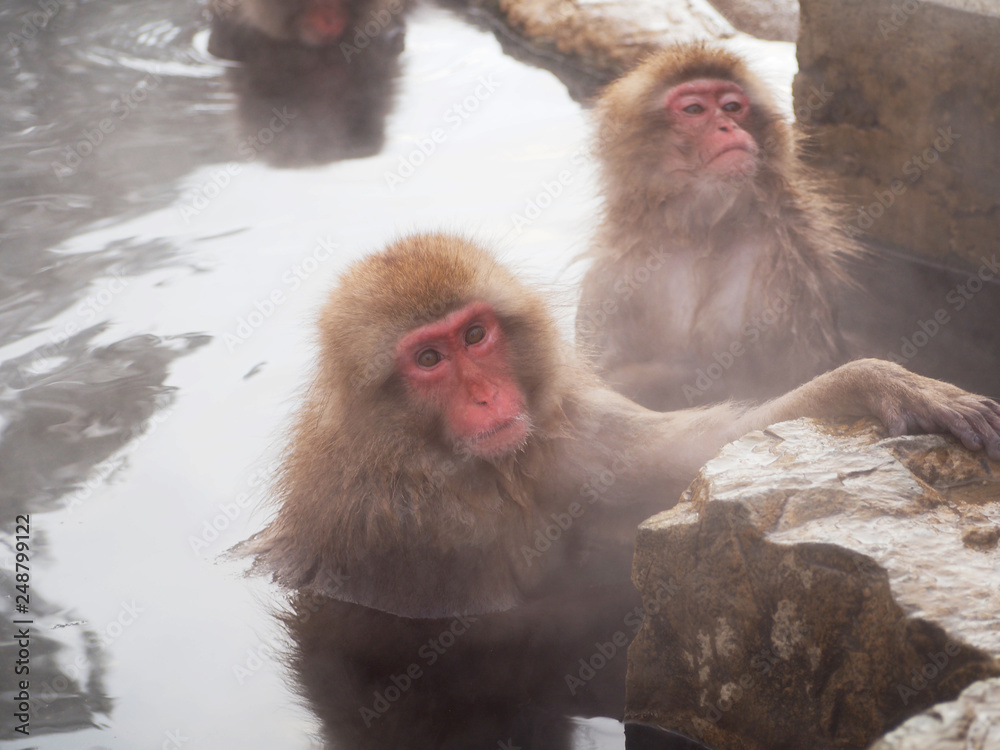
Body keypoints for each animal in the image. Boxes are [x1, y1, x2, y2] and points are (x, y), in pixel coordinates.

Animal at [241, 232, 1000, 749]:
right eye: (428, 358)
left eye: (475, 334)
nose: (486, 395)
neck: (483, 468)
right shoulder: (409, 523)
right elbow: (485, 634)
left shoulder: (570, 437)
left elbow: (695, 456)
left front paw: (875, 381)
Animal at [576, 42, 859, 411]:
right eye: (695, 109)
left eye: (732, 107)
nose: (728, 127)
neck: (704, 231)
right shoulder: (613, 270)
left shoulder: (789, 258)